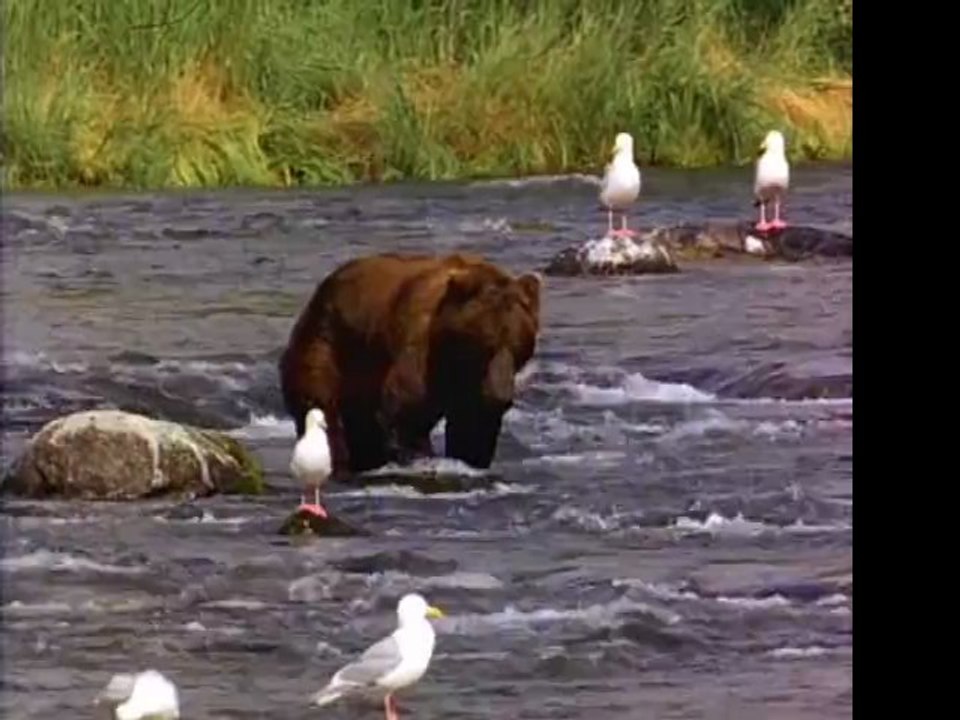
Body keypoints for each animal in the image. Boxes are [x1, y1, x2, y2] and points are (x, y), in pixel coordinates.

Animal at [278, 252, 542, 475]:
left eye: (519, 348)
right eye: (487, 345)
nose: (501, 396)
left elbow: (473, 424)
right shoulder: (419, 346)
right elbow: (407, 412)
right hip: (328, 345)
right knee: (325, 411)